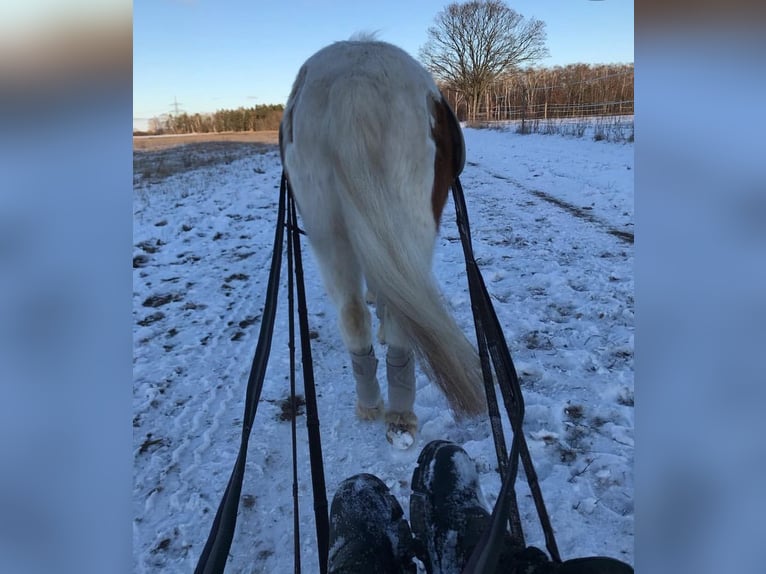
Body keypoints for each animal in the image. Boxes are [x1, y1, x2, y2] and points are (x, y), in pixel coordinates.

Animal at [280, 37, 486, 450]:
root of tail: (354, 83)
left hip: (326, 231)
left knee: (352, 314)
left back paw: (371, 404)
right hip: (416, 225)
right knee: (400, 323)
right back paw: (401, 414)